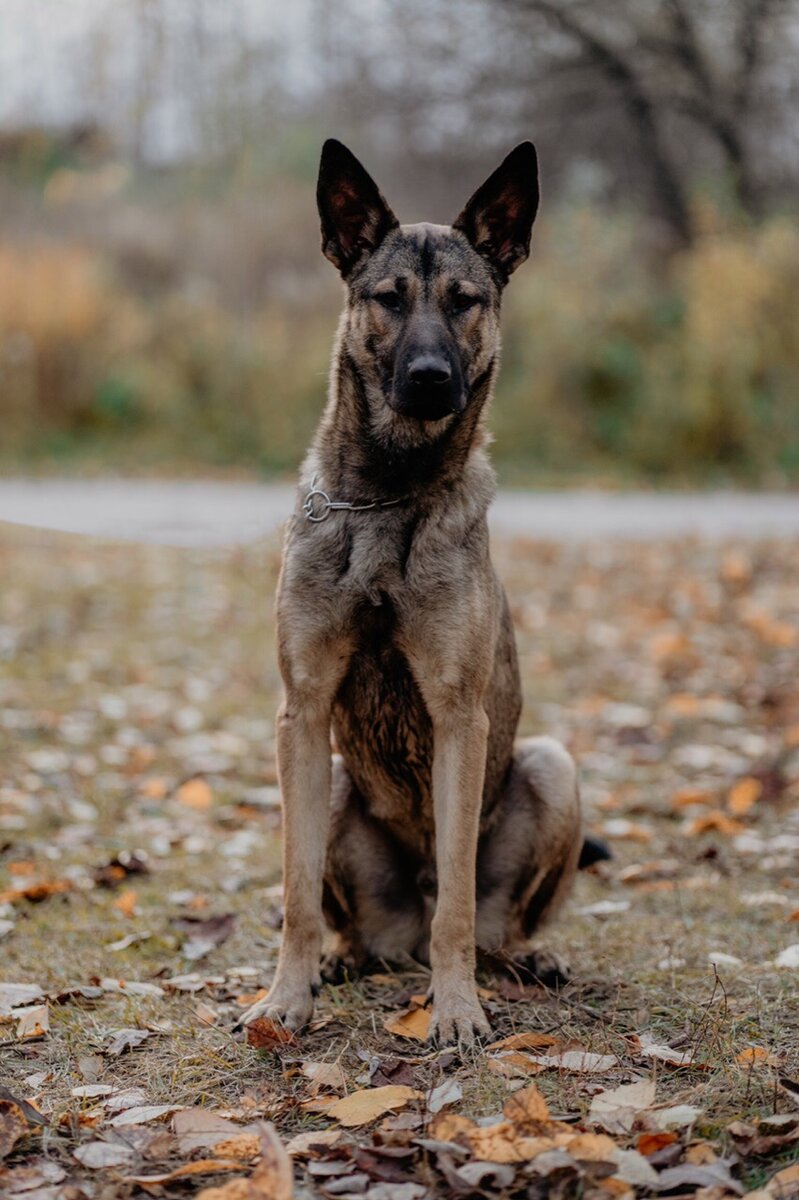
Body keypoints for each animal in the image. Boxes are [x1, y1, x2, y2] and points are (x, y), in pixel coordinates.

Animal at [244, 138, 597, 1041]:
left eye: (465, 301)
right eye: (389, 299)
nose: (433, 377)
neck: (387, 498)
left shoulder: (457, 716)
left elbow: (459, 910)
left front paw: (457, 1010)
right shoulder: (302, 714)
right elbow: (296, 892)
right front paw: (286, 998)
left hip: (550, 765)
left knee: (486, 918)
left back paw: (521, 961)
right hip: (336, 777)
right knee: (356, 924)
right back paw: (343, 958)